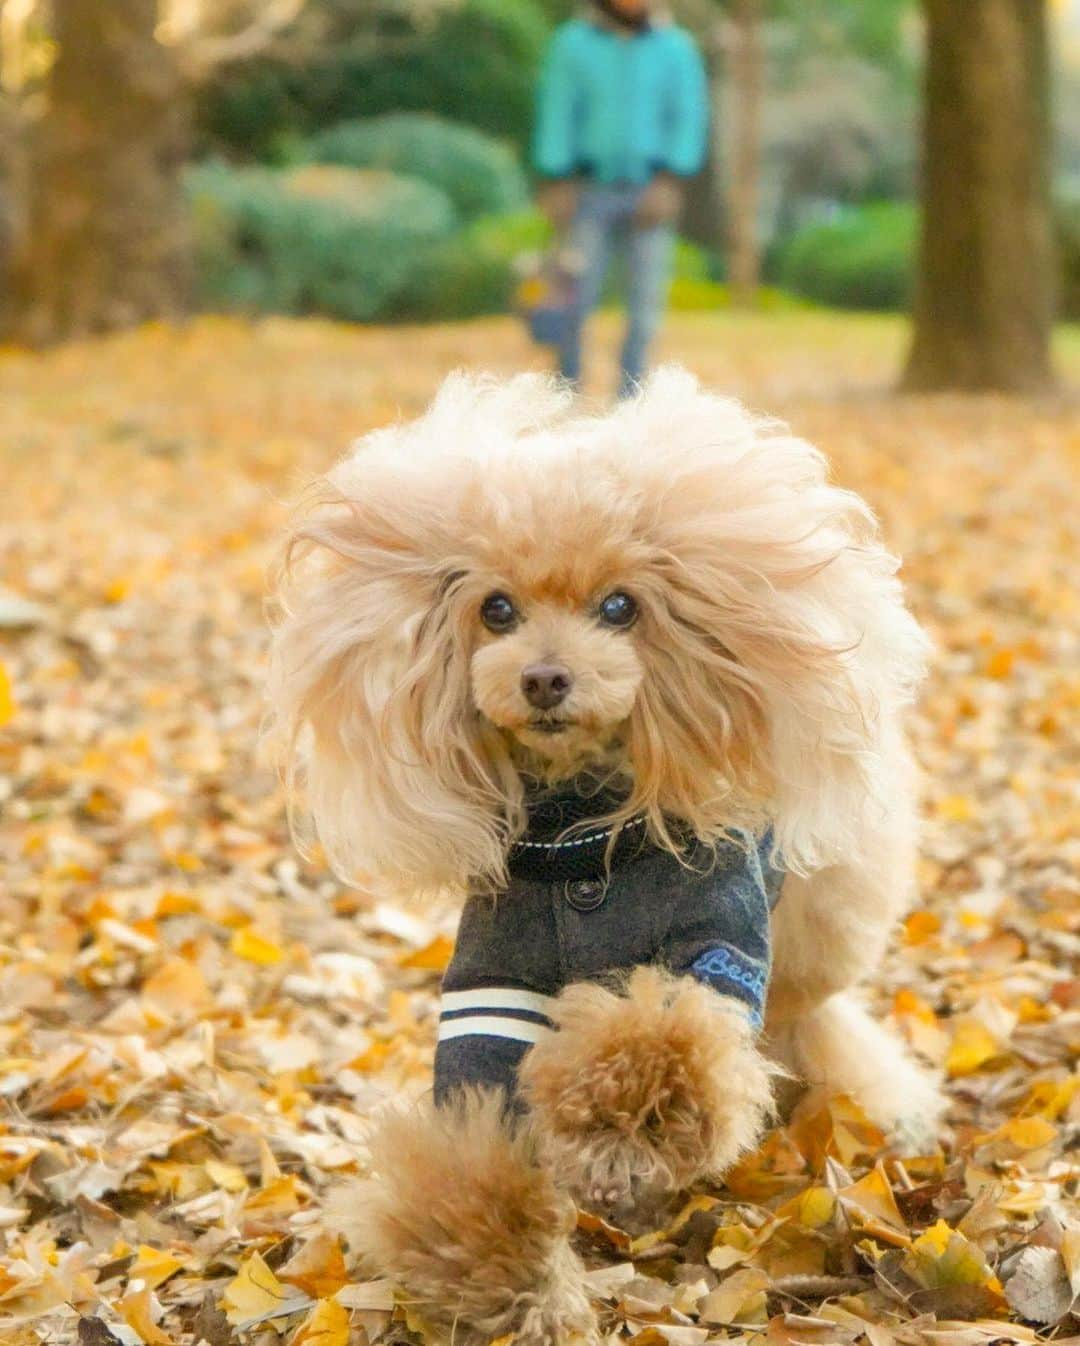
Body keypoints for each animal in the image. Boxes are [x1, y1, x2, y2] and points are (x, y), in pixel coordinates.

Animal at [269, 371, 942, 1346]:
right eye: (495, 609)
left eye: (621, 607)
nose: (546, 678)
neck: (577, 839)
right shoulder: (491, 997)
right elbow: (472, 1152)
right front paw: (508, 1285)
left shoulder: (713, 954)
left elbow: (659, 1043)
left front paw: (611, 1136)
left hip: (812, 933)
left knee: (815, 1018)